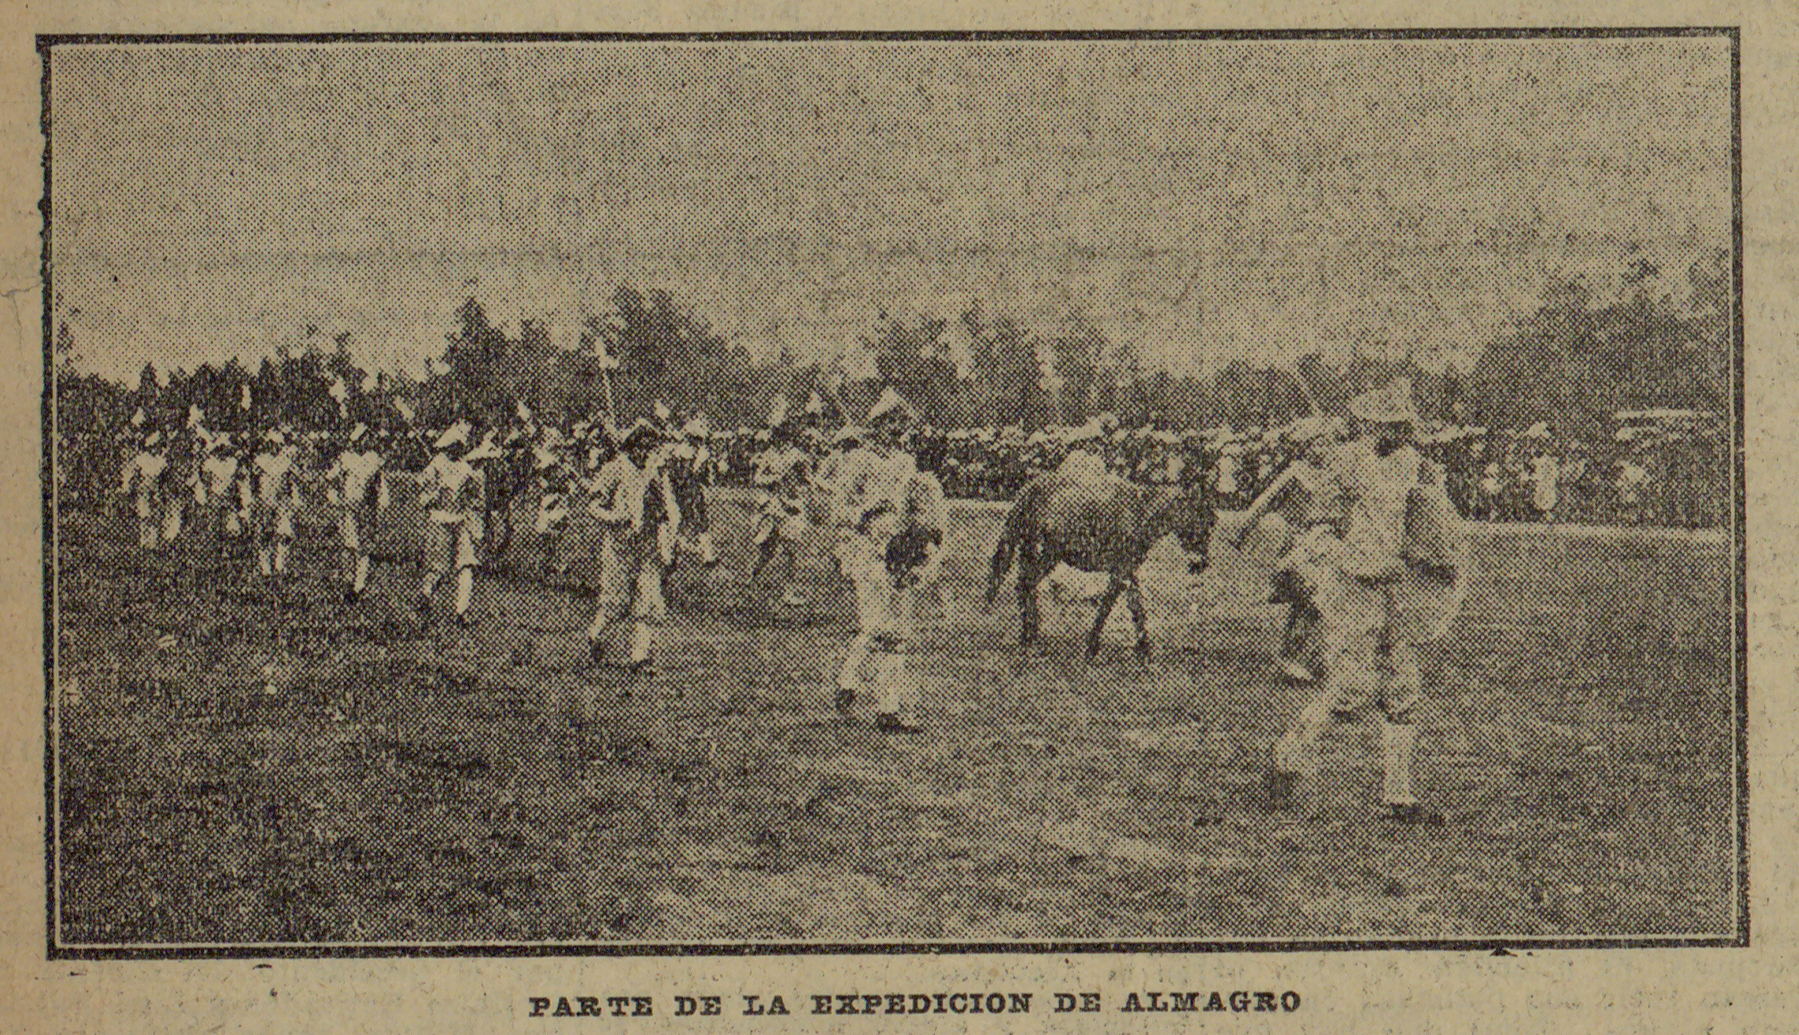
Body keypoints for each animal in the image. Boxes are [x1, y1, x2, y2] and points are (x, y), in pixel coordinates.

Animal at [993, 475, 1216, 658]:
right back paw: (1030, 639)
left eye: (1209, 523)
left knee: (1025, 585)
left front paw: (1143, 650)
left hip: (1037, 552)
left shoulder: (1127, 569)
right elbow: (1110, 604)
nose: (1200, 564)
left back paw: (1029, 637)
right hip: (1048, 554)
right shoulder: (1121, 569)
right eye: (1200, 520)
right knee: (1026, 582)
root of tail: (1029, 490)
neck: (1138, 514)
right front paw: (1092, 648)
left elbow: (1134, 605)